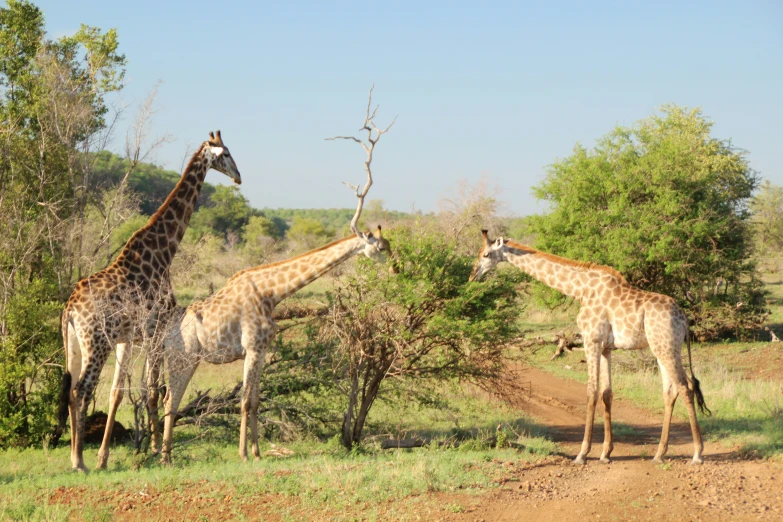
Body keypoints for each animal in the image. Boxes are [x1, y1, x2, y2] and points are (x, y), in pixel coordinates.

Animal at [59, 131, 242, 472]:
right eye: (225, 153)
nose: (239, 176)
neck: (162, 253)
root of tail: (69, 310)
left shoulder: (131, 338)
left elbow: (120, 392)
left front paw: (107, 456)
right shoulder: (157, 330)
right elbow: (153, 391)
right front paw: (155, 450)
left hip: (74, 345)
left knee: (70, 389)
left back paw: (78, 457)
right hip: (96, 343)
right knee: (81, 390)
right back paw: (78, 460)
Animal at [468, 231, 712, 464]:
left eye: (486, 254)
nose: (472, 276)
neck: (581, 290)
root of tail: (684, 317)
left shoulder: (591, 340)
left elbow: (591, 392)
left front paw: (582, 454)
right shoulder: (606, 347)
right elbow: (606, 393)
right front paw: (606, 453)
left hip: (666, 346)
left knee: (685, 387)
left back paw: (697, 454)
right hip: (661, 347)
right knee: (670, 391)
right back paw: (659, 454)